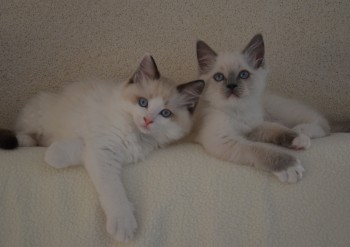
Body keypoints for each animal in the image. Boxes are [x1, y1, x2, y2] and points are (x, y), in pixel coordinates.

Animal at [2, 54, 205, 241]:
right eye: (143, 103)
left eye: (165, 113)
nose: (147, 120)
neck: (135, 133)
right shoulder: (104, 149)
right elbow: (113, 188)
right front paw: (123, 222)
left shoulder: (110, 150)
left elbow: (83, 149)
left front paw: (57, 153)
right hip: (35, 116)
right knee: (24, 133)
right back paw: (27, 140)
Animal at [193, 33, 334, 183]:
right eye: (219, 77)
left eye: (243, 74)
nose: (231, 86)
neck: (238, 111)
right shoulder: (224, 139)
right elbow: (260, 149)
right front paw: (290, 167)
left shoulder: (255, 125)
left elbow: (276, 128)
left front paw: (298, 138)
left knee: (323, 124)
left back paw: (302, 130)